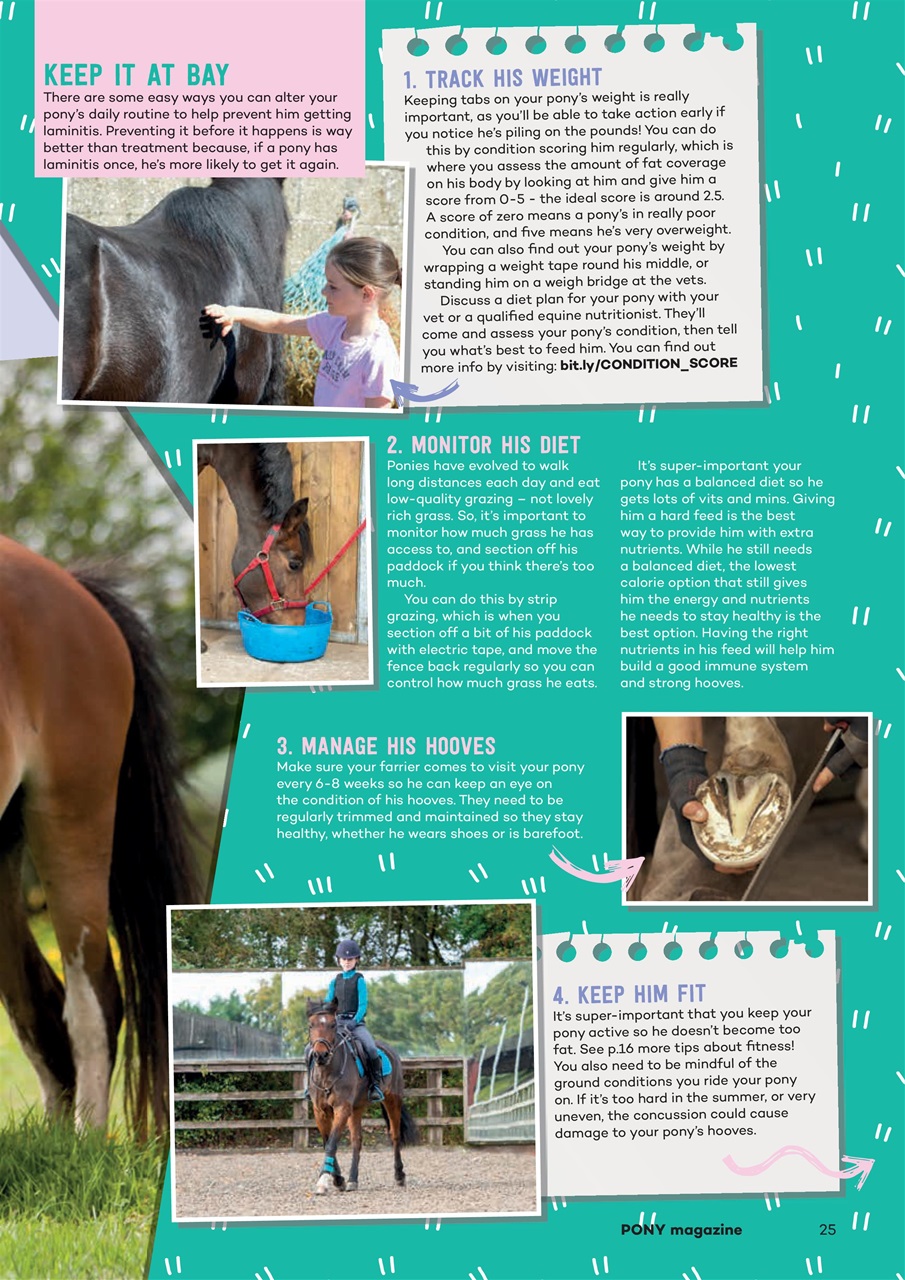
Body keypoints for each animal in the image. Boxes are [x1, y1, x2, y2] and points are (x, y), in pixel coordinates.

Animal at [306, 999, 418, 1194]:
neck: (328, 1072)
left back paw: (399, 1176)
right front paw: (338, 1180)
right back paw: (352, 1180)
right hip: (357, 1108)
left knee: (394, 1135)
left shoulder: (342, 1108)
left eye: (333, 1024)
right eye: (311, 1025)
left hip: (392, 1100)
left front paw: (323, 1181)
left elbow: (332, 1143)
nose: (321, 1055)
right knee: (357, 1141)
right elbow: (327, 1142)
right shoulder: (320, 1111)